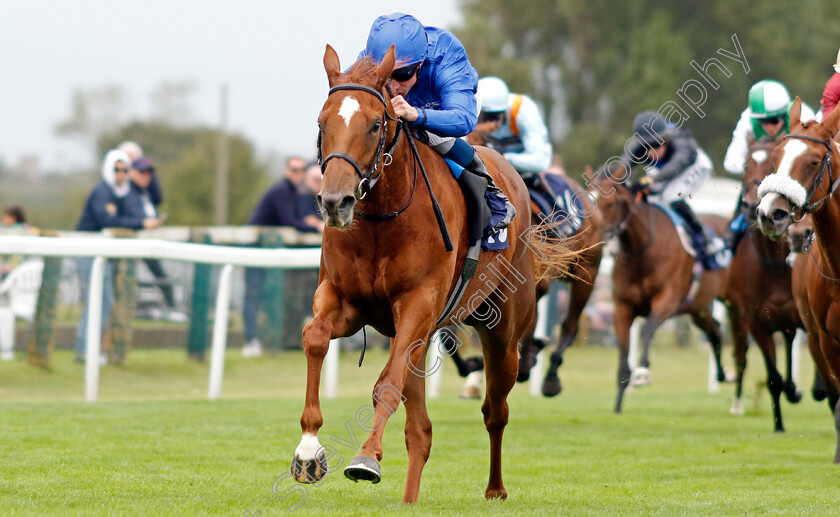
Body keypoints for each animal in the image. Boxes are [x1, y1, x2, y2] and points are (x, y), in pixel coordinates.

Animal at [290, 45, 576, 504]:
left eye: (375, 124)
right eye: (322, 123)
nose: (335, 202)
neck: (382, 219)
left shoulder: (417, 304)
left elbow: (386, 384)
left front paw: (366, 458)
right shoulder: (345, 301)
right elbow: (315, 337)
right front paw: (308, 449)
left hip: (502, 331)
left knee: (496, 410)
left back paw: (495, 488)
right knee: (420, 431)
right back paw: (410, 498)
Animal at [592, 175, 732, 414]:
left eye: (610, 203)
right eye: (589, 199)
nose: (593, 233)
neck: (644, 249)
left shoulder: (667, 300)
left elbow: (648, 329)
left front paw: (643, 371)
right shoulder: (622, 308)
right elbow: (623, 360)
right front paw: (617, 408)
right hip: (699, 307)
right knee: (714, 331)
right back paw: (723, 375)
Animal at [724, 135, 804, 430]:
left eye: (771, 164)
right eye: (746, 164)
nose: (749, 206)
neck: (774, 266)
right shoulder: (756, 321)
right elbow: (774, 378)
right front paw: (779, 425)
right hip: (736, 314)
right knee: (741, 356)